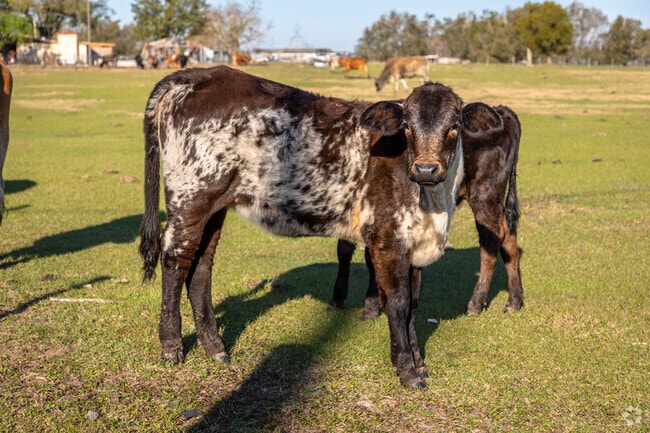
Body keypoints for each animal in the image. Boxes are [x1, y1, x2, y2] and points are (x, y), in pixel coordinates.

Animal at [139, 65, 465, 389]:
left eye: (455, 125)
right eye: (407, 126)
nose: (426, 169)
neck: (434, 204)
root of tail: (198, 74)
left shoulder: (415, 246)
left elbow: (413, 305)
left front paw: (419, 363)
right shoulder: (387, 241)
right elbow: (398, 303)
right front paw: (407, 368)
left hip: (214, 207)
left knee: (201, 268)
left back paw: (214, 347)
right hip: (190, 198)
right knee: (176, 260)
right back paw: (171, 346)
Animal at [328, 102, 523, 319]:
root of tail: (501, 111)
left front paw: (369, 306)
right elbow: (345, 250)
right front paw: (340, 300)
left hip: (485, 197)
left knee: (491, 242)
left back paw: (476, 303)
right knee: (508, 236)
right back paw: (514, 301)